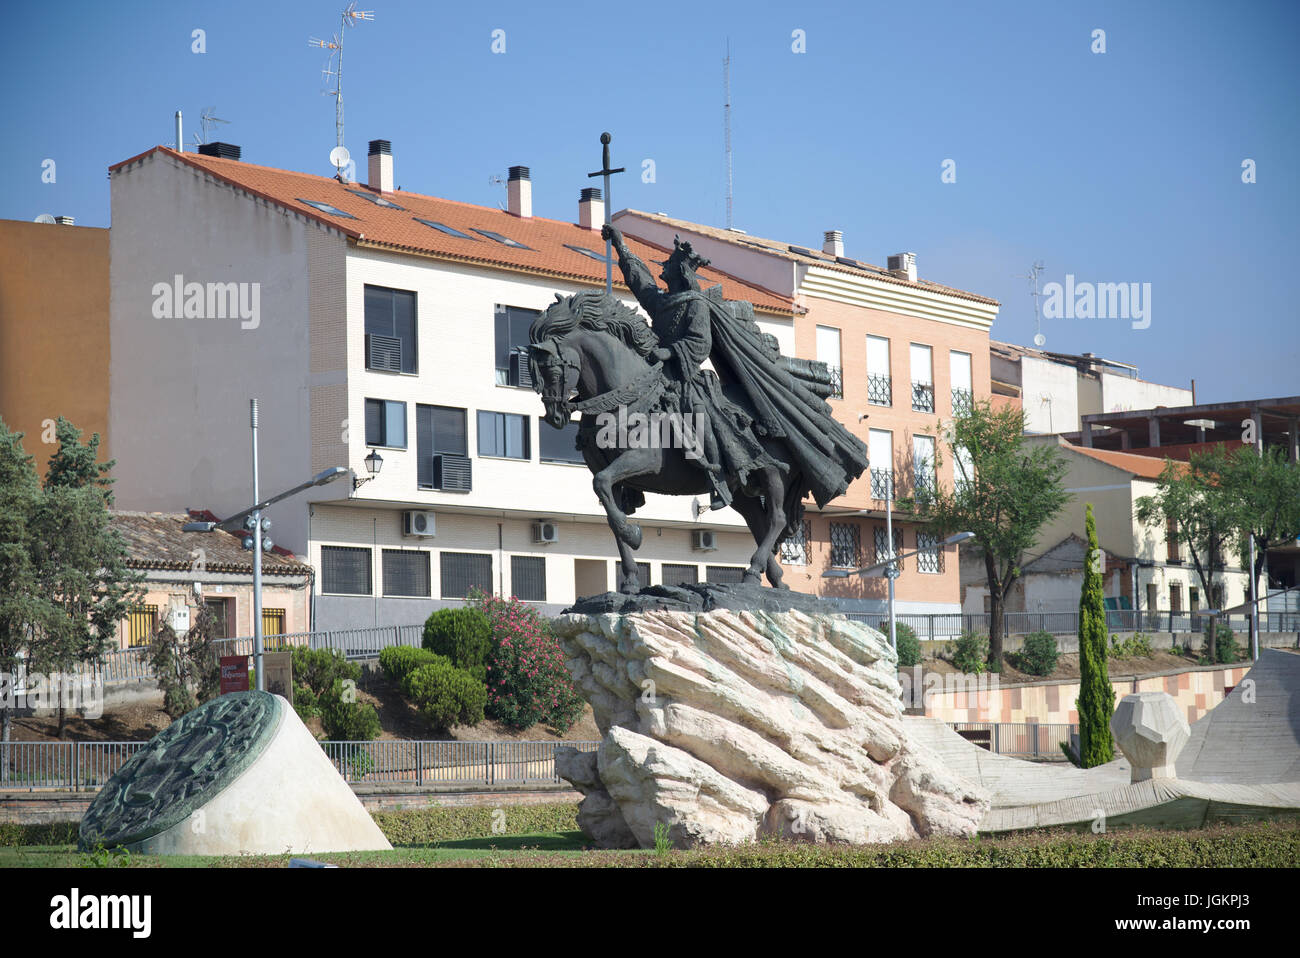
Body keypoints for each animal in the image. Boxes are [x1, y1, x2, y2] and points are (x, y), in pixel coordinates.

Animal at [525, 289, 790, 590]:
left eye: (552, 370)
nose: (554, 416)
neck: (623, 399)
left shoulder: (643, 460)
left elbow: (601, 483)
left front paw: (633, 535)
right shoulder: (614, 477)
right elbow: (609, 508)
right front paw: (629, 577)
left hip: (771, 472)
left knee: (776, 518)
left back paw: (755, 570)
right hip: (738, 486)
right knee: (757, 520)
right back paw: (770, 579)